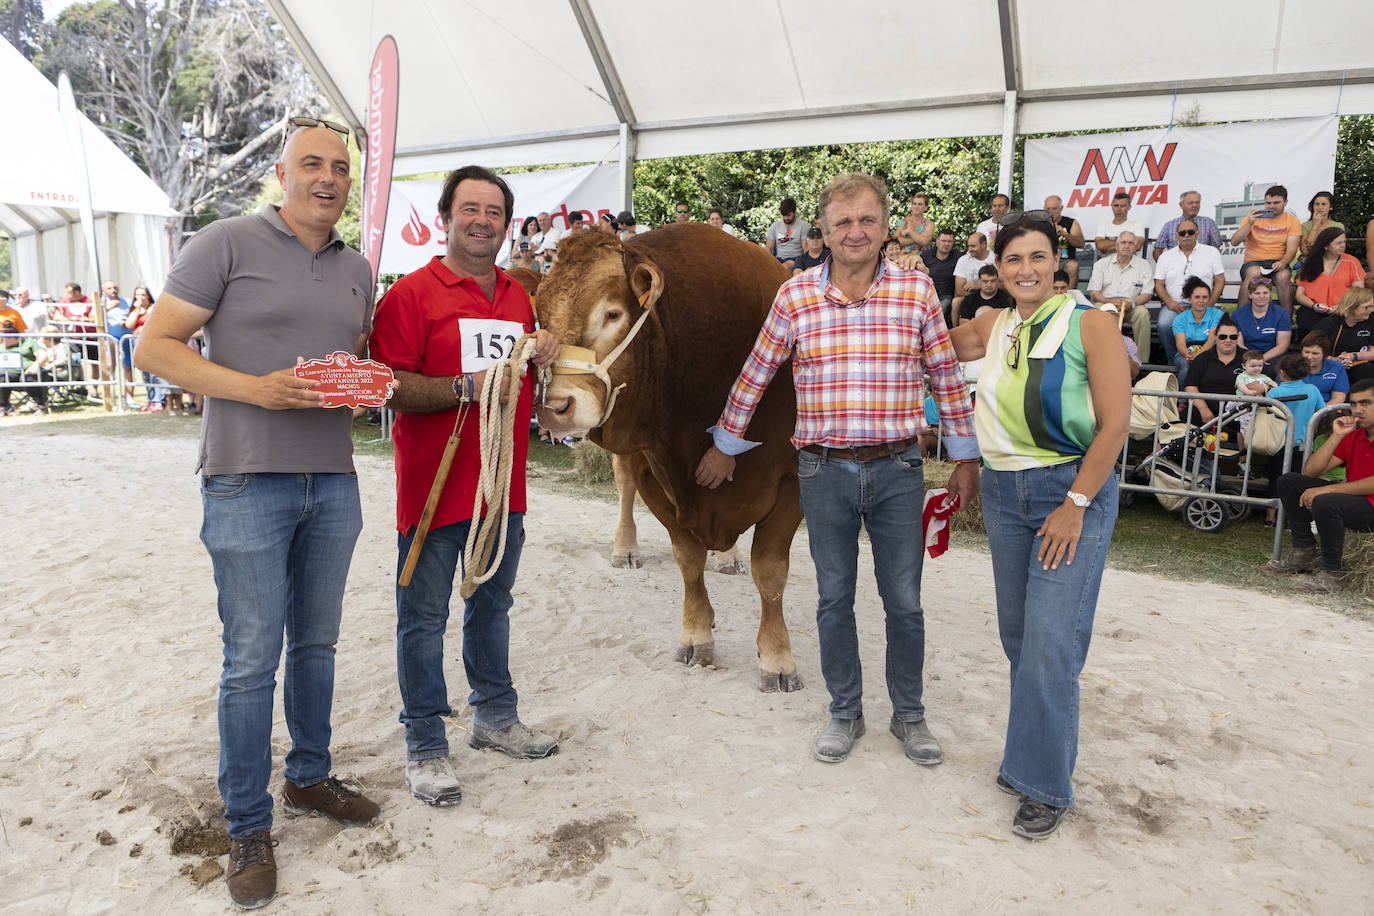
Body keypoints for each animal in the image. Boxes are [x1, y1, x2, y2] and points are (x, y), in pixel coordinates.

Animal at [527, 223, 802, 686]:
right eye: (542, 320)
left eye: (613, 314)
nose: (555, 407)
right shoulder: (653, 472)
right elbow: (687, 559)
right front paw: (696, 636)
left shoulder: (795, 482)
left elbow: (769, 570)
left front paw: (778, 657)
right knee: (623, 489)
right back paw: (626, 548)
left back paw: (728, 557)